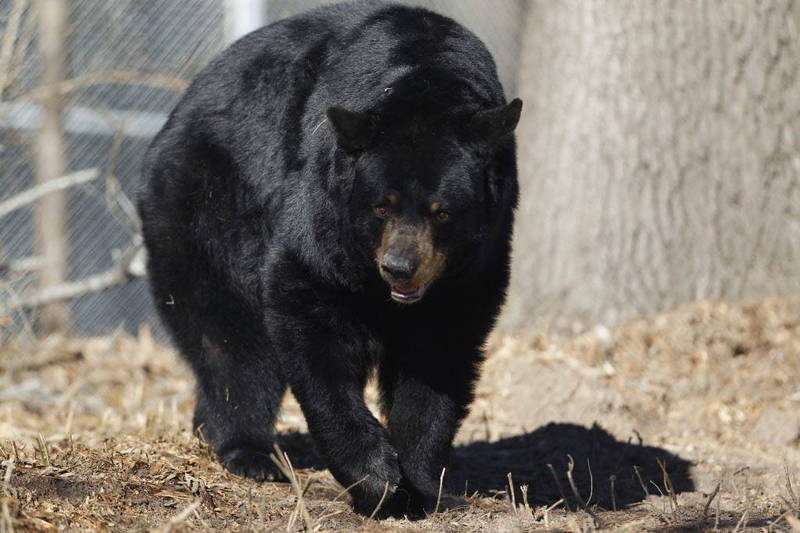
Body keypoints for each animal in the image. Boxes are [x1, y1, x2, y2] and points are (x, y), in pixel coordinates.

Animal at [139, 0, 520, 516]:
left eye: (443, 211)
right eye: (382, 205)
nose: (400, 267)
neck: (427, 80)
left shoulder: (474, 264)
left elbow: (439, 356)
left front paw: (421, 484)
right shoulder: (323, 210)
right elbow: (309, 309)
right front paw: (375, 476)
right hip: (209, 209)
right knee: (235, 343)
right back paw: (250, 452)